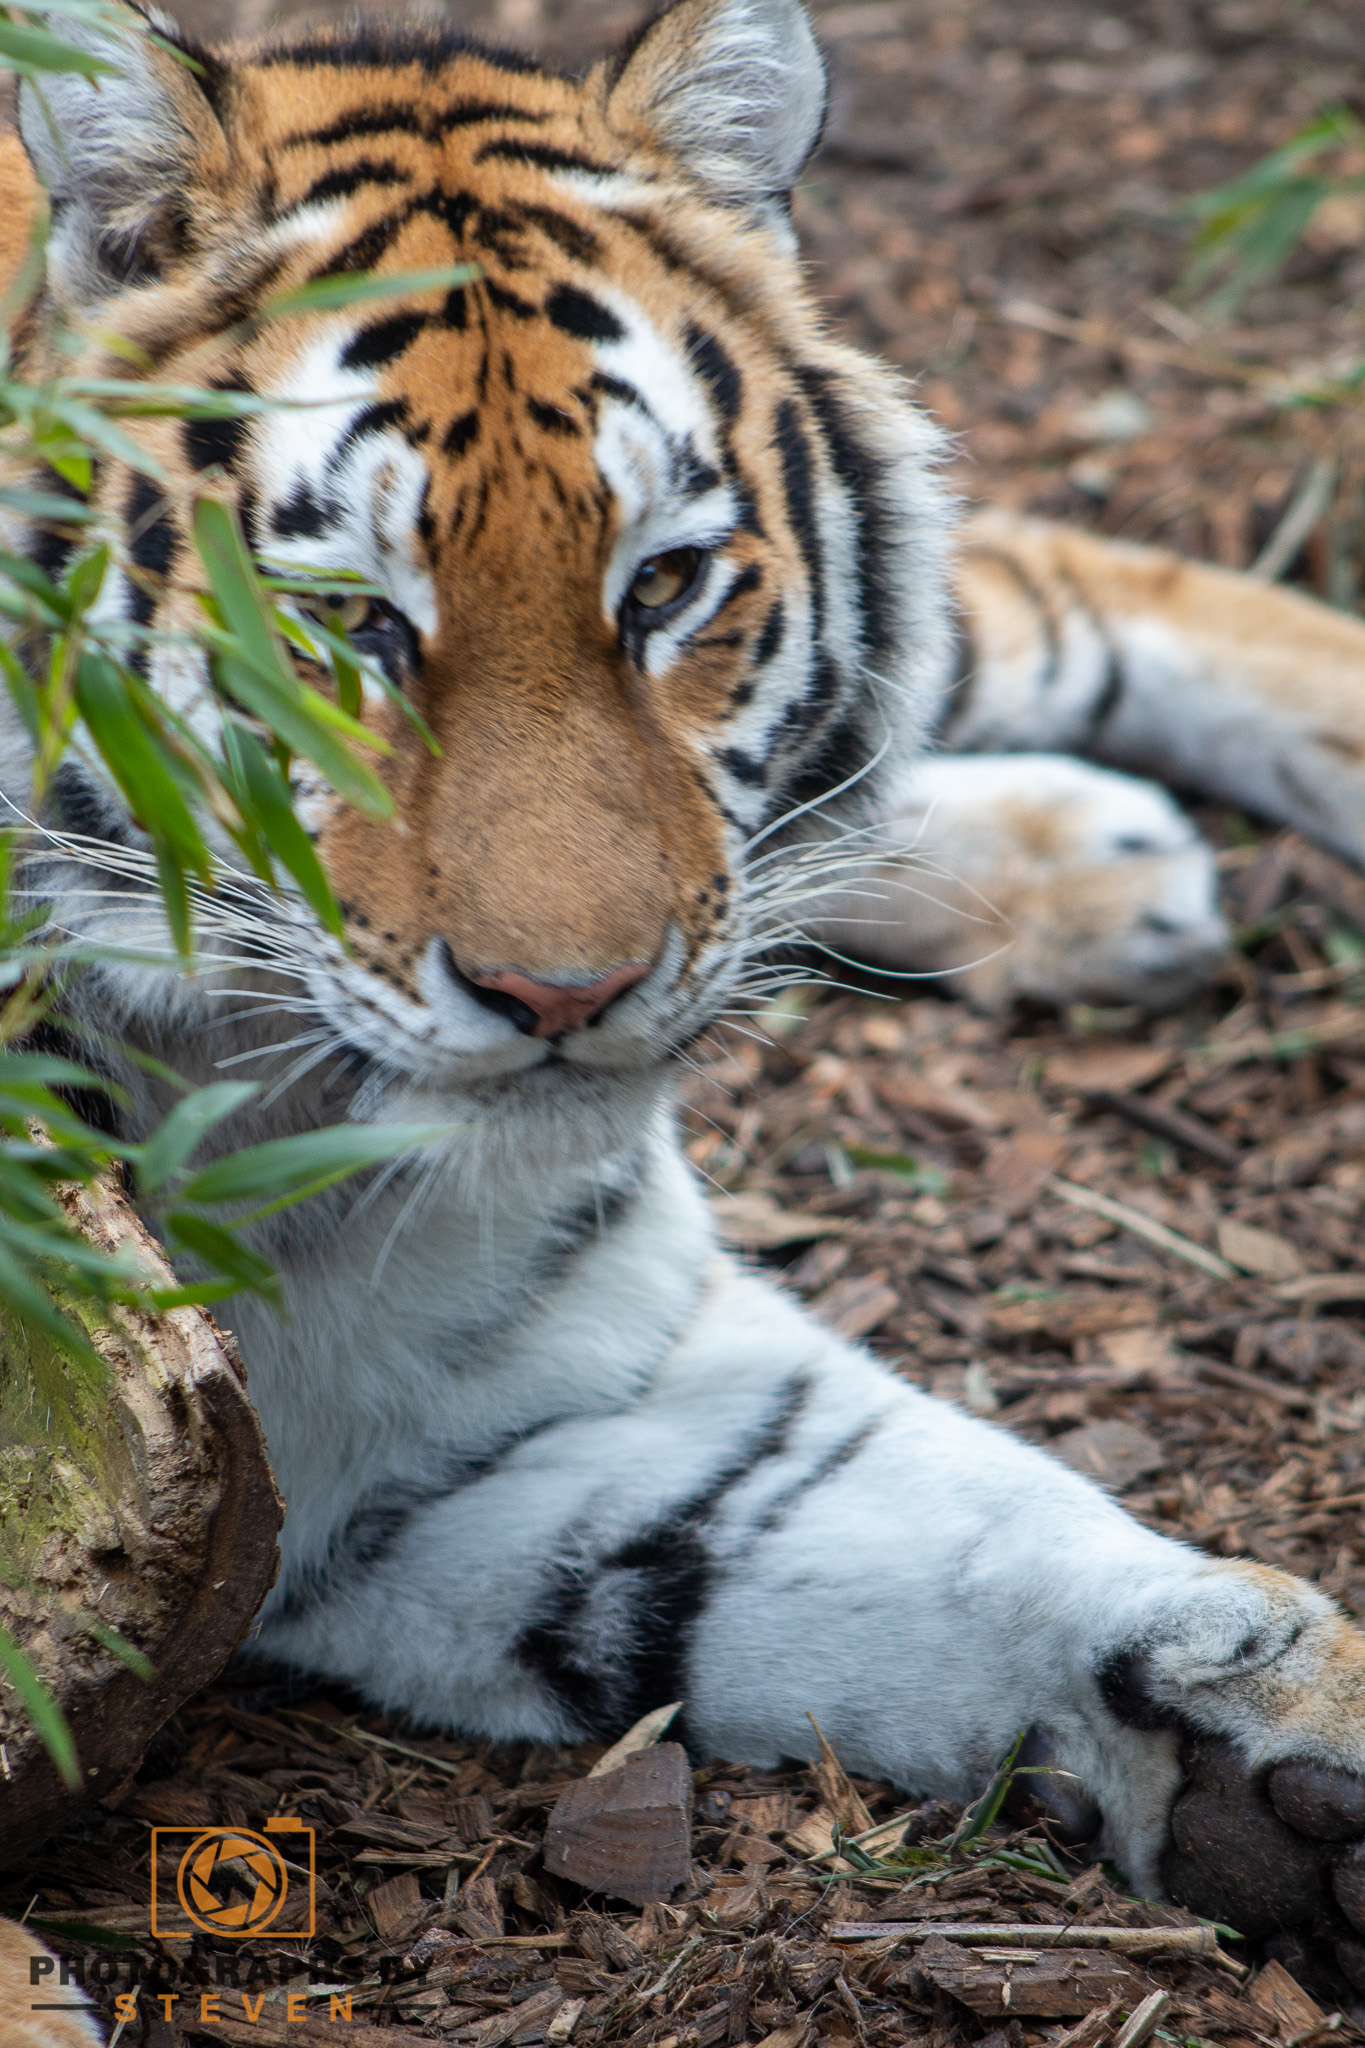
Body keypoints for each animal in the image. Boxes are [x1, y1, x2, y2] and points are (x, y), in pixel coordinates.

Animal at [5, 0, 1365, 1990]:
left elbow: (983, 1513)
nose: (570, 992)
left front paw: (1280, 1725)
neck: (285, 1114)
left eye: (660, 587)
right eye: (350, 624)